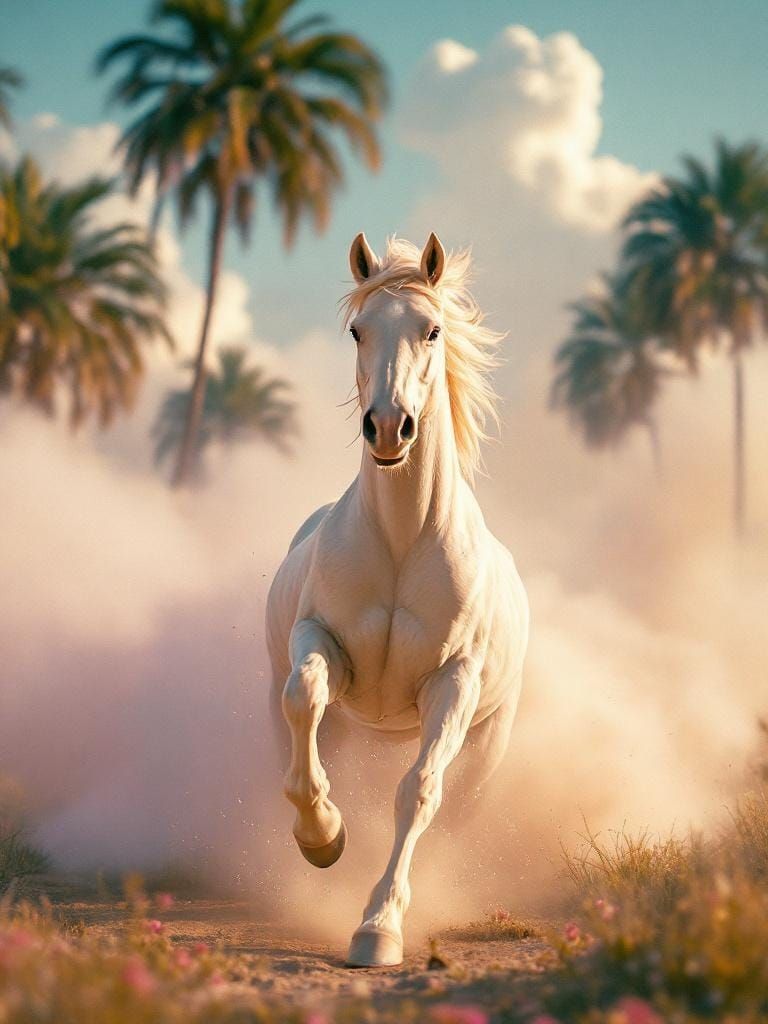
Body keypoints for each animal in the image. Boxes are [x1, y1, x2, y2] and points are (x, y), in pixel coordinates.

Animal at [266, 232, 529, 967]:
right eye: (358, 329)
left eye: (431, 329)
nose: (389, 427)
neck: (402, 541)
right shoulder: (319, 641)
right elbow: (304, 700)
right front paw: (323, 835)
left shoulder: (453, 684)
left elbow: (417, 794)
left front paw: (378, 927)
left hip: (487, 743)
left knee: (452, 810)